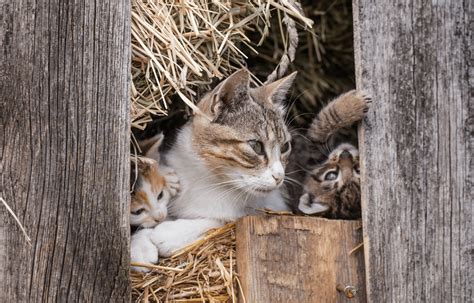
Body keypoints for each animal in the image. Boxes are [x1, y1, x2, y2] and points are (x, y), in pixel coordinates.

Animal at [286, 89, 372, 220]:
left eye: (358, 170)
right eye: (331, 175)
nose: (345, 154)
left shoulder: (310, 150)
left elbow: (323, 122)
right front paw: (355, 103)